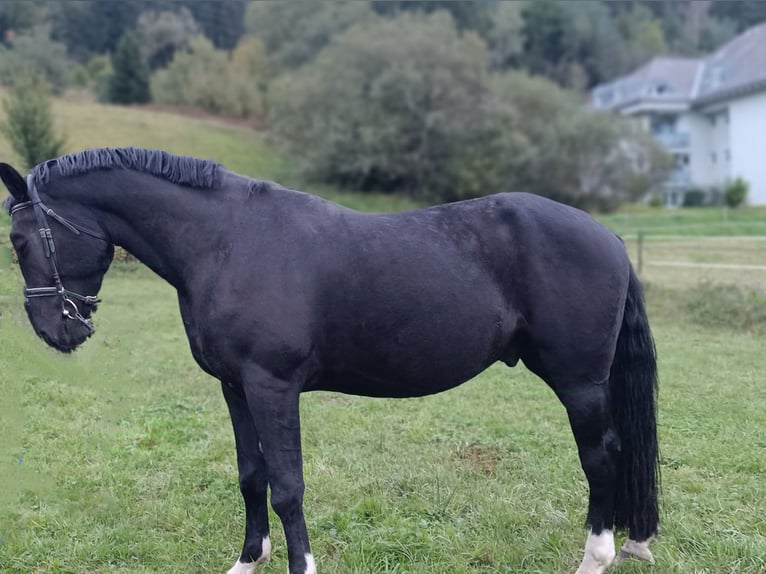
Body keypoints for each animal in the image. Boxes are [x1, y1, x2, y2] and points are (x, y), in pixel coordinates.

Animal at [0, 150, 660, 574]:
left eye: (20, 239)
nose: (55, 330)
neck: (226, 241)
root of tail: (609, 238)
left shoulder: (272, 387)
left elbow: (288, 486)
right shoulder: (235, 388)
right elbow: (252, 477)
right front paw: (248, 561)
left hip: (579, 382)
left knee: (603, 457)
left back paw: (598, 557)